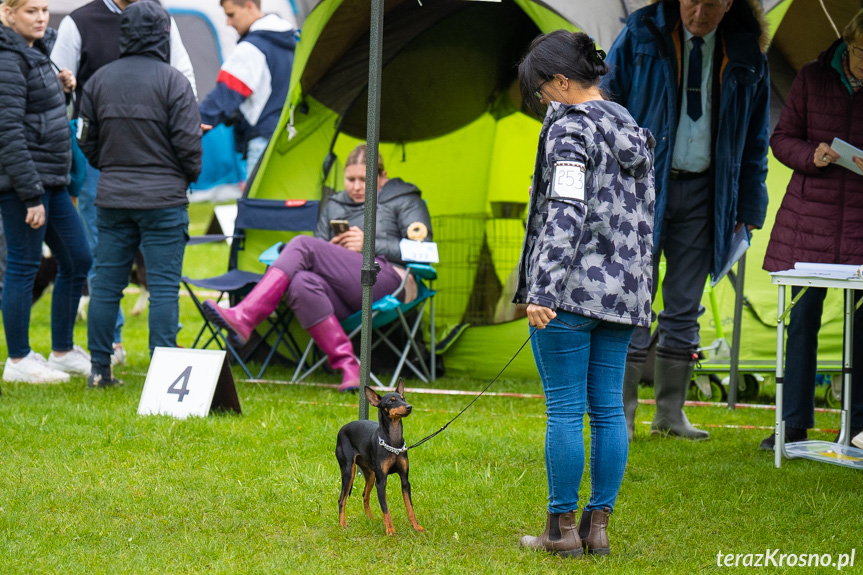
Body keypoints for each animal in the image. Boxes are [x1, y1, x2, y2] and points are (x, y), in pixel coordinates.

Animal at [336, 380, 424, 536]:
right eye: (391, 401)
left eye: (403, 398)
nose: (409, 407)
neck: (393, 442)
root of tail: (342, 429)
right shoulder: (381, 482)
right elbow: (385, 509)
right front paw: (390, 530)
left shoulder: (405, 481)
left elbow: (410, 507)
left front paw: (416, 527)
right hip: (348, 471)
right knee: (342, 499)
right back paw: (343, 524)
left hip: (370, 474)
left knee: (365, 495)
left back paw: (370, 519)